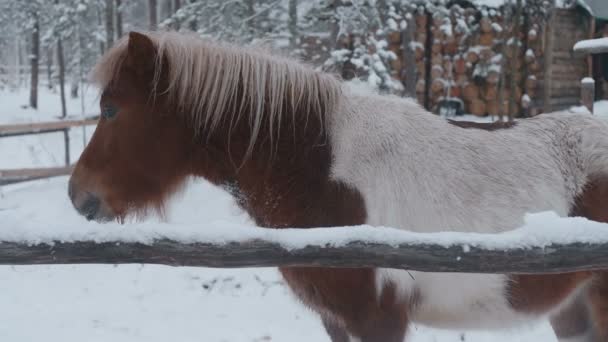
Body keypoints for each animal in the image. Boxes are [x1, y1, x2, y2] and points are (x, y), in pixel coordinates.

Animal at [69, 30, 608, 340]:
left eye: (111, 109)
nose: (78, 195)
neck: (320, 171)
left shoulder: (379, 321)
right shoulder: (337, 322)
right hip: (572, 312)